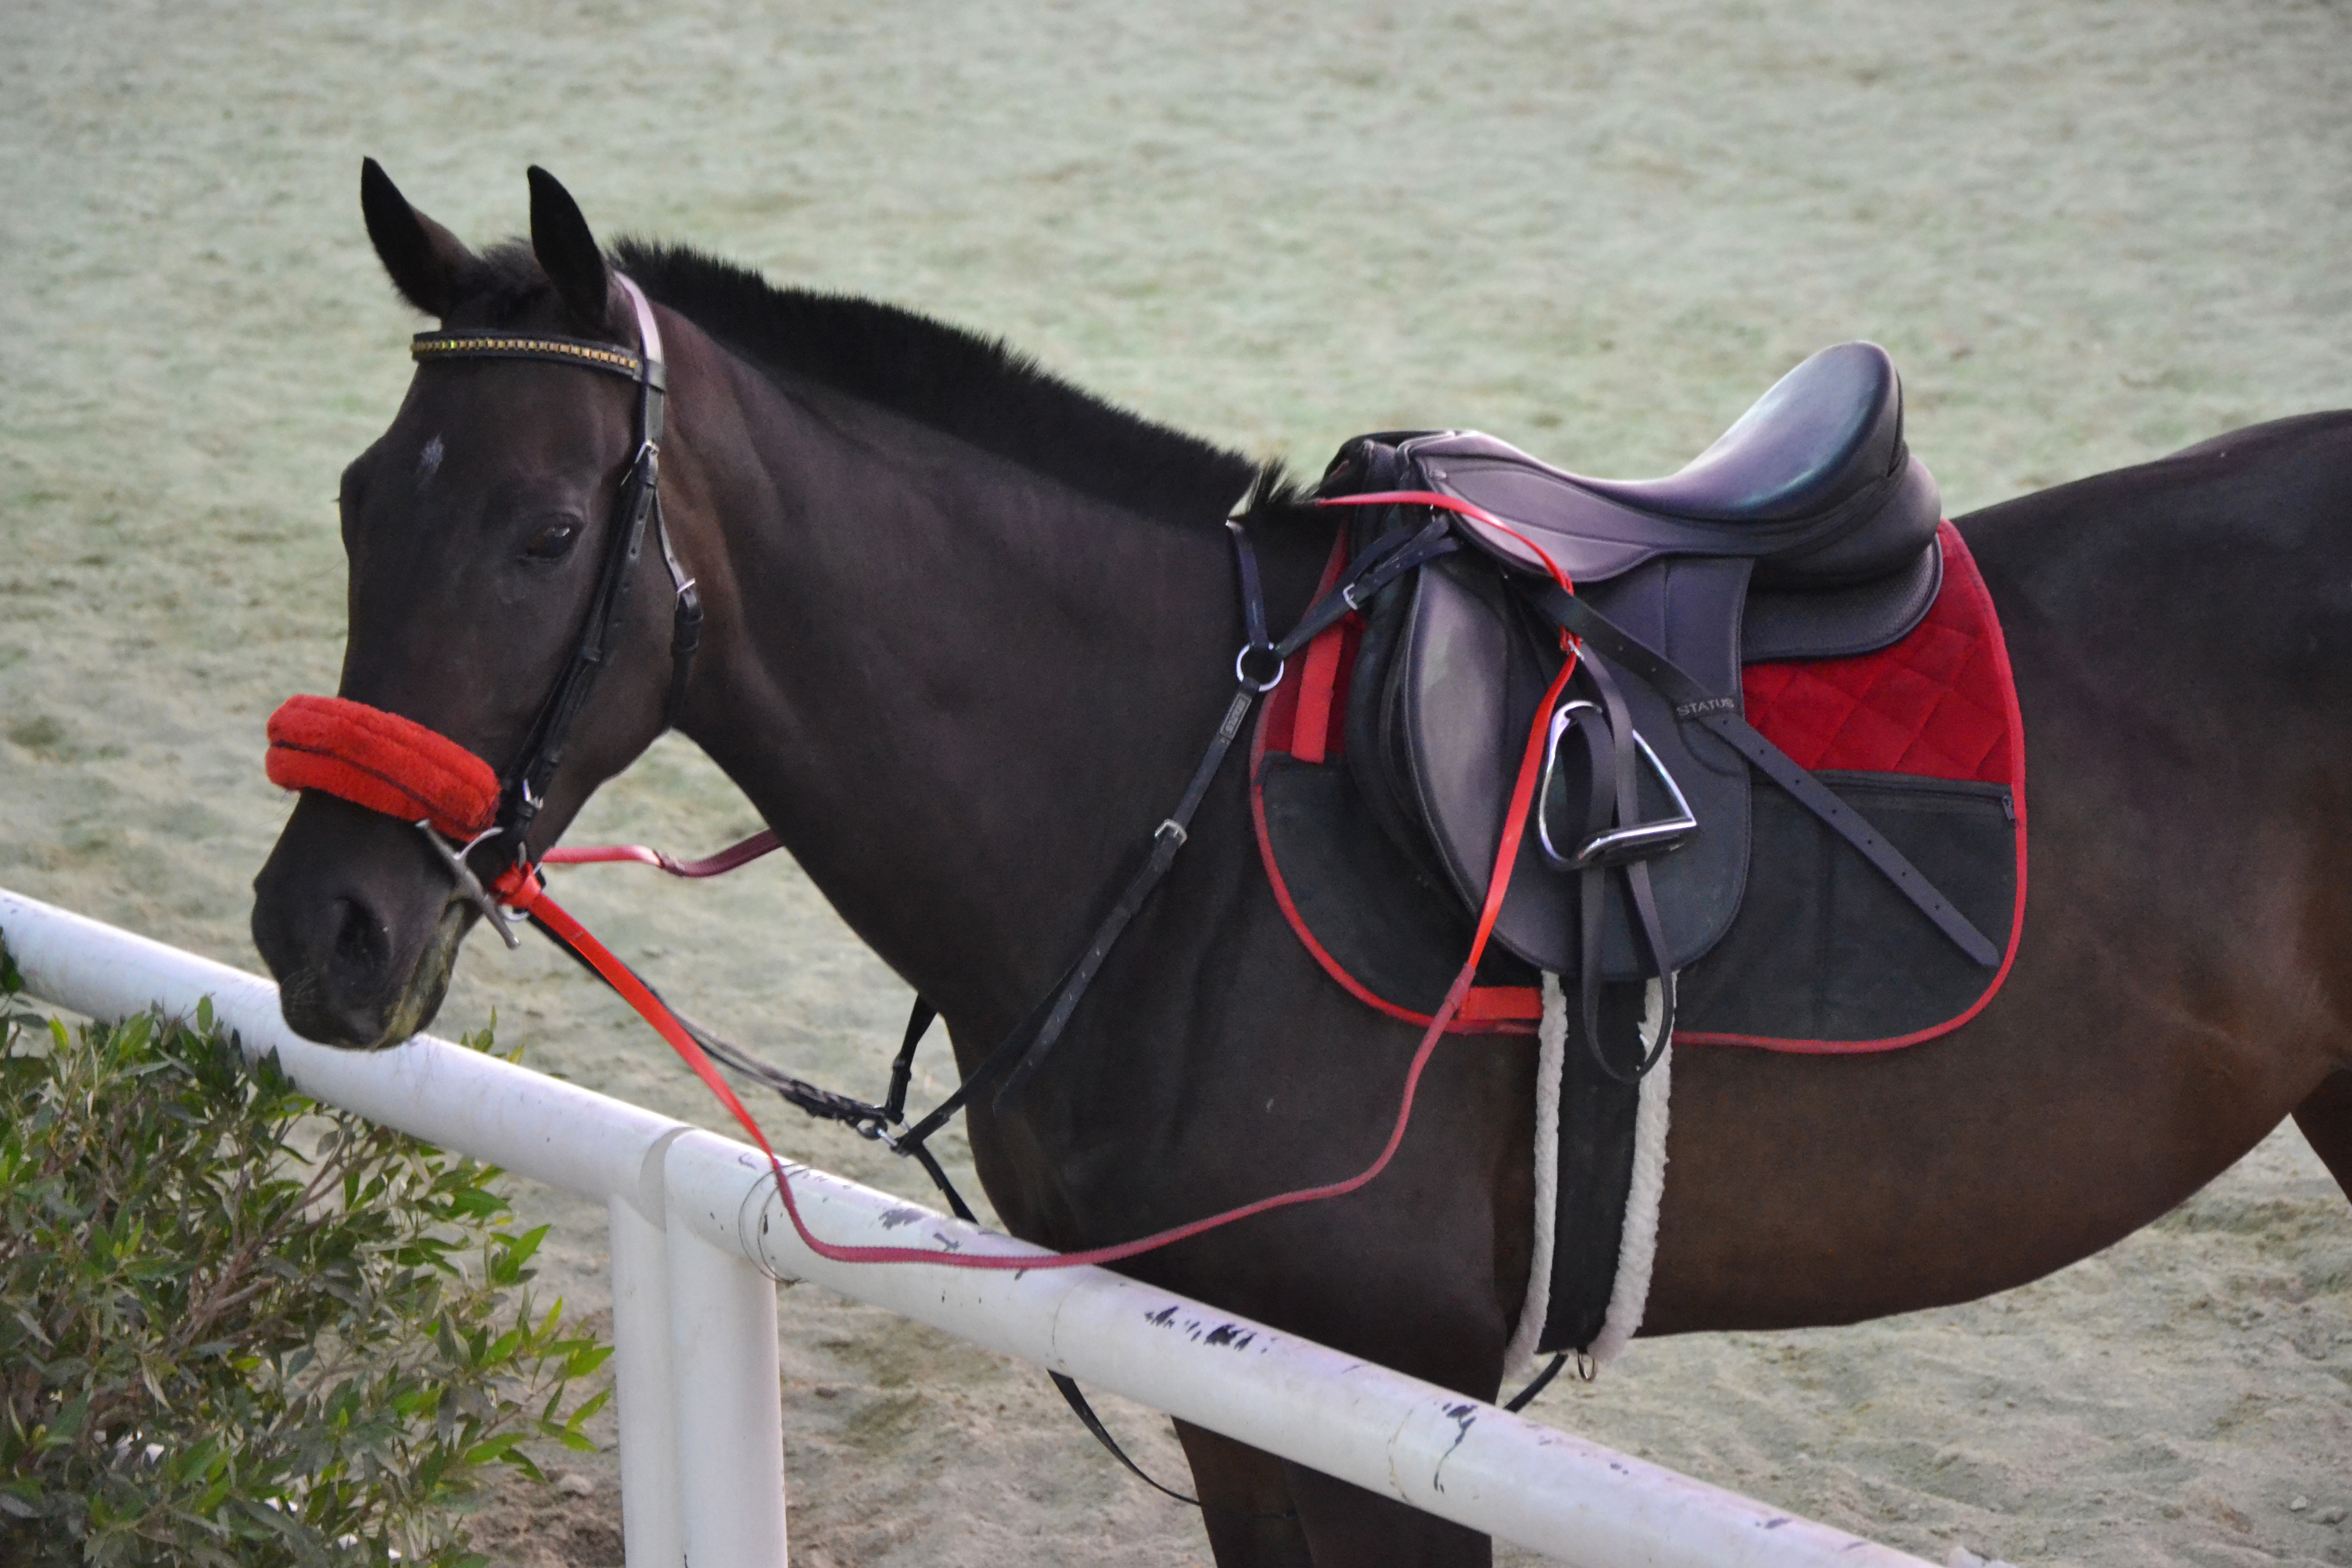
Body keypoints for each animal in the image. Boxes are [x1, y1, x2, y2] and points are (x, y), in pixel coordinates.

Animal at [249, 163, 2352, 1567]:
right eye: (355, 500)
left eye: (542, 532)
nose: (319, 924)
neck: (1177, 835)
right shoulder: (1245, 1400)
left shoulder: (1365, 1397)